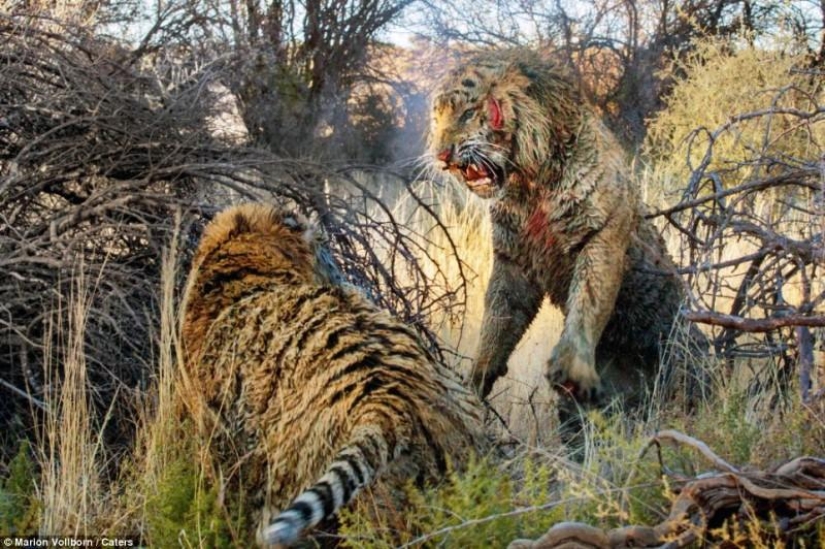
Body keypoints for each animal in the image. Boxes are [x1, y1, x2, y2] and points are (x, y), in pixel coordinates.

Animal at [429, 48, 708, 413]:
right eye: (436, 119)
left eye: (467, 113)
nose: (441, 156)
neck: (528, 183)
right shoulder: (513, 260)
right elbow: (496, 323)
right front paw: (474, 382)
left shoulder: (599, 238)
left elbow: (588, 302)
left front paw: (572, 366)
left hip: (687, 350)